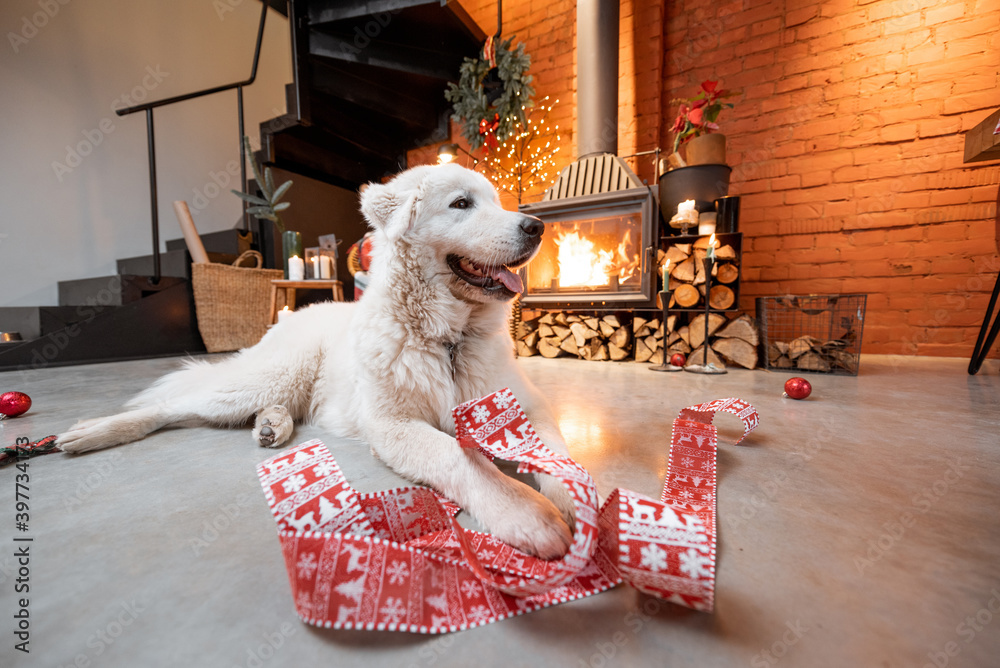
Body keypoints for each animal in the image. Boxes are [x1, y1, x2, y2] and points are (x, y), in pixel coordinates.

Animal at [60, 163, 580, 560]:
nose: (536, 226)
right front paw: (525, 513)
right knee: (171, 405)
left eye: (495, 201)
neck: (446, 339)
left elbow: (557, 451)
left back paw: (272, 426)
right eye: (461, 204)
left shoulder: (526, 403)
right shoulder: (392, 424)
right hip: (270, 376)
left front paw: (575, 500)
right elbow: (461, 458)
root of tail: (290, 316)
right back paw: (93, 432)